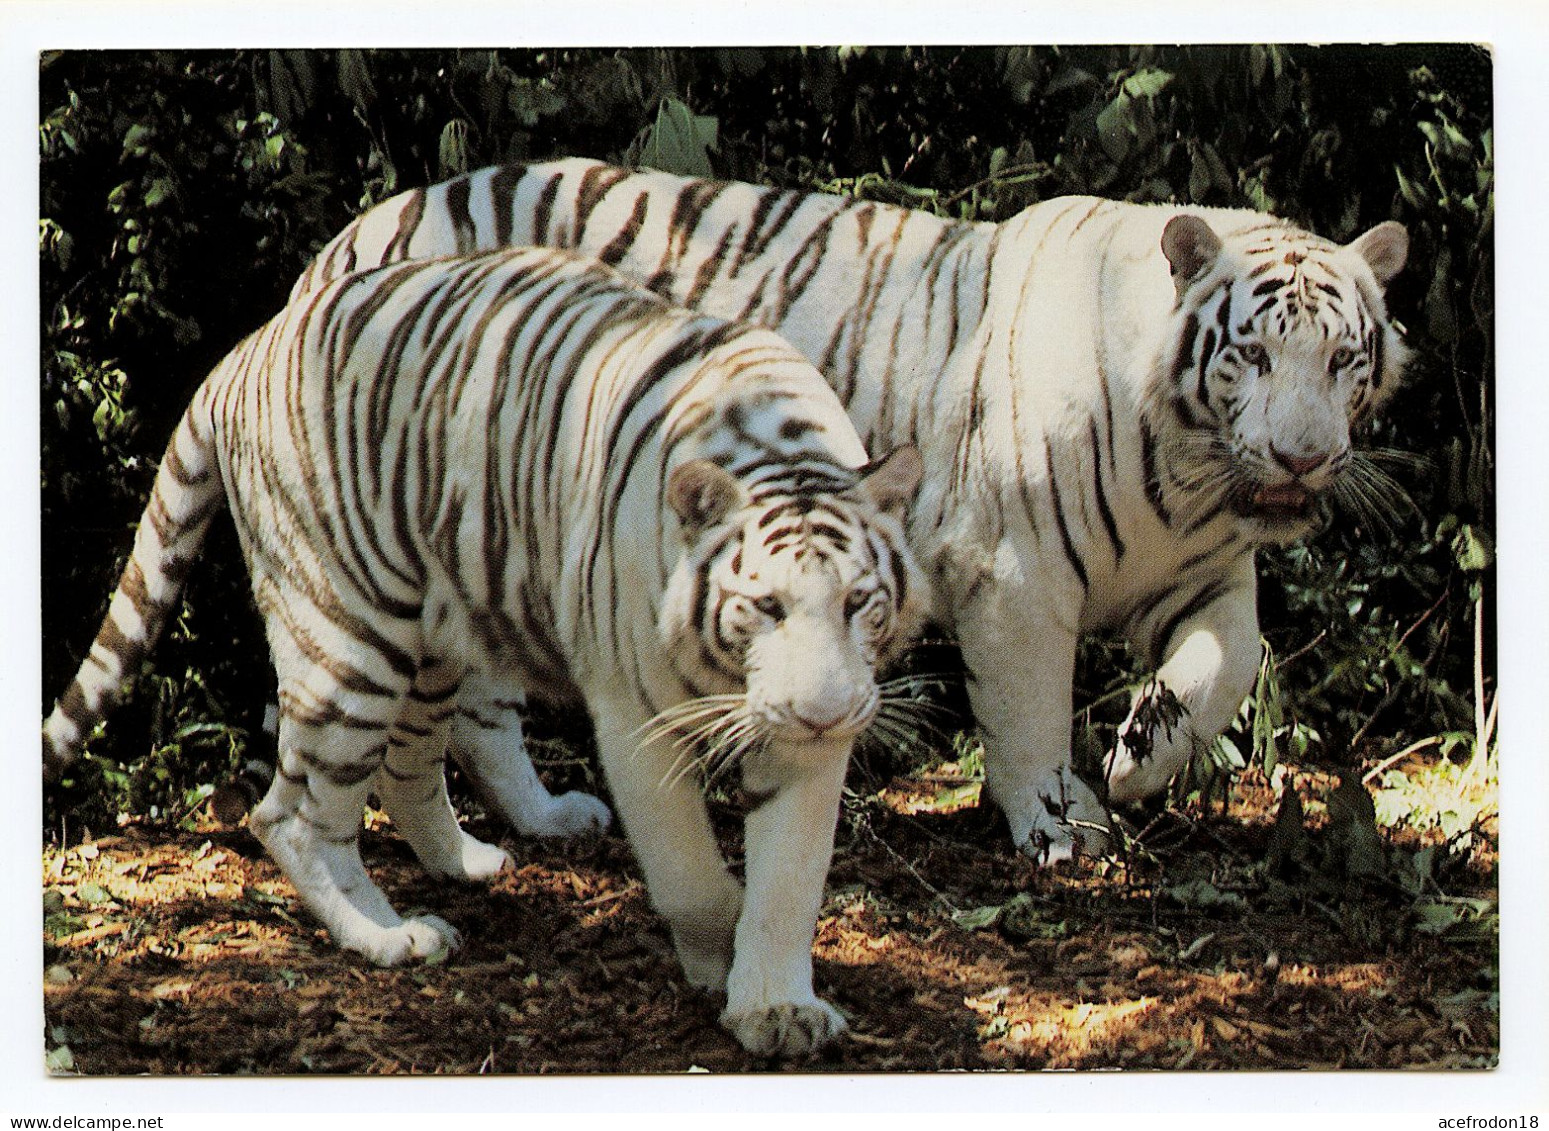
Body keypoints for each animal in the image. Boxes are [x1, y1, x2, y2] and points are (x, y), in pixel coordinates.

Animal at [42, 246, 923, 1059]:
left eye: (856, 602)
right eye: (766, 606)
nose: (825, 711)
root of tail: (244, 349)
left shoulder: (806, 737)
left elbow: (790, 880)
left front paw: (777, 1007)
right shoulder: (634, 714)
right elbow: (690, 875)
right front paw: (719, 951)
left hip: (430, 634)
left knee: (410, 763)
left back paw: (473, 856)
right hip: (344, 639)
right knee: (292, 812)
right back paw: (386, 934)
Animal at [292, 158, 1418, 861]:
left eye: (1342, 358)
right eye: (1253, 354)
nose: (1303, 458)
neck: (1188, 478)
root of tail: (352, 235)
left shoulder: (1203, 572)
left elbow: (1226, 668)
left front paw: (1142, 757)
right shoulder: (1013, 576)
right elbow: (1027, 715)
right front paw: (1061, 825)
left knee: (482, 707)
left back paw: (546, 818)